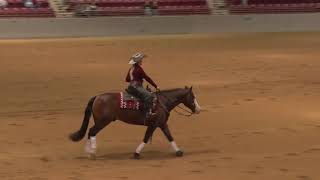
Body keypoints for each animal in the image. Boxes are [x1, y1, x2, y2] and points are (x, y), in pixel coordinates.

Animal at [69, 86, 201, 160]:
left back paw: (88, 152)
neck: (162, 102)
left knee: (90, 132)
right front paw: (136, 153)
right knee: (92, 132)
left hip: (99, 121)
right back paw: (92, 153)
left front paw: (178, 151)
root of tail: (97, 97)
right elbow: (146, 138)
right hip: (103, 122)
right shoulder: (154, 124)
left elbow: (169, 136)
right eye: (193, 97)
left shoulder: (161, 124)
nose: (199, 109)